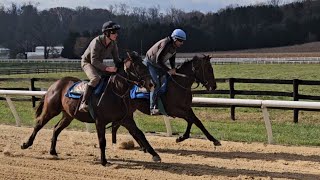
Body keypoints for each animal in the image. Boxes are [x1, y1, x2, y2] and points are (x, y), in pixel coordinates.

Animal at [20, 51, 161, 165]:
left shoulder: (126, 119)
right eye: (139, 67)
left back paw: (53, 151)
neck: (116, 91)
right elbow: (102, 140)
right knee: (39, 124)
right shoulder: (100, 121)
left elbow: (140, 133)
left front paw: (155, 155)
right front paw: (104, 161)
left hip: (68, 115)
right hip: (51, 110)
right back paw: (26, 144)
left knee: (56, 128)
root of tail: (55, 84)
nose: (152, 84)